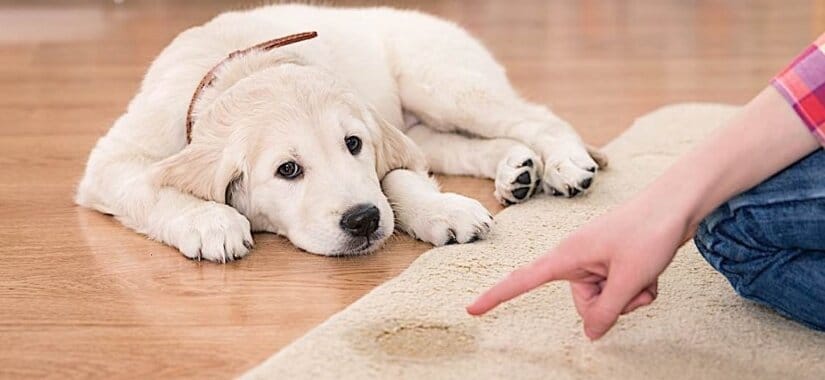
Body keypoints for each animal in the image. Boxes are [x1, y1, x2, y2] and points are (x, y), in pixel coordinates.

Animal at [77, 4, 604, 262]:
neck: (242, 66)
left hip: (441, 83)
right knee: (460, 146)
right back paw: (517, 170)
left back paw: (564, 164)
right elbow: (149, 187)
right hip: (426, 122)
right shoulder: (112, 161)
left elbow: (396, 178)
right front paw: (210, 222)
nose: (364, 221)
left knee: (537, 117)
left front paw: (441, 209)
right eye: (288, 170)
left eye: (353, 144)